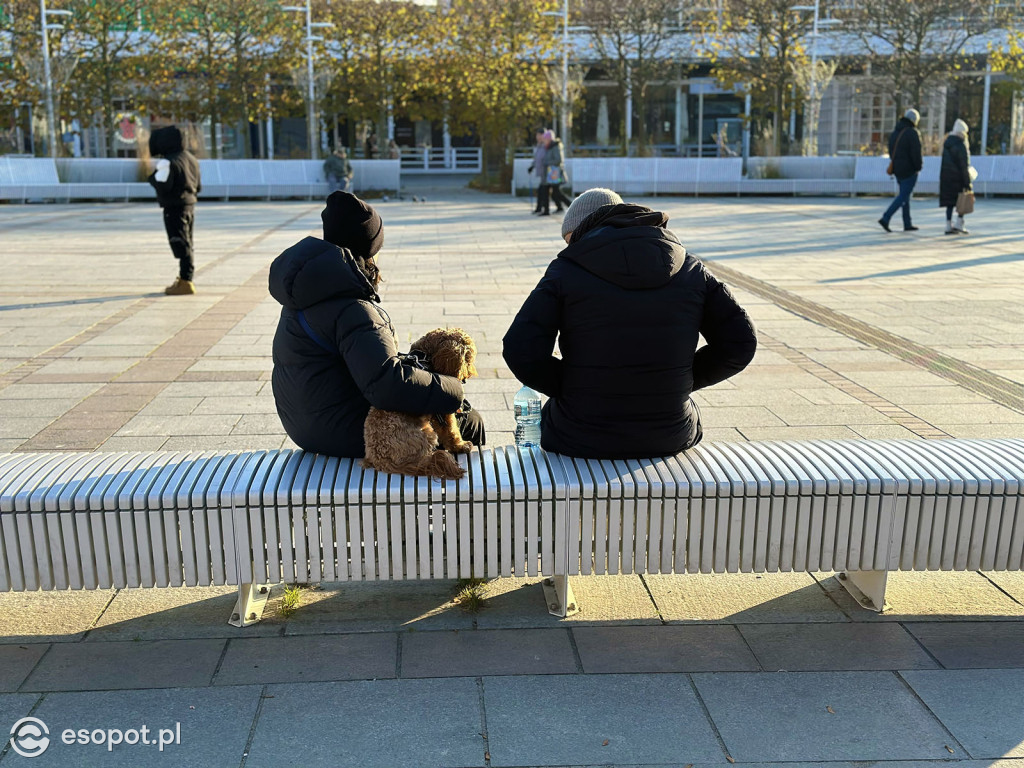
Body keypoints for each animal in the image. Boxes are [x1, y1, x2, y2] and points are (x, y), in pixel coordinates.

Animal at [362, 329, 477, 481]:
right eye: (467, 358)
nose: (468, 375)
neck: (424, 357)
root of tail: (382, 461)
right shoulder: (443, 411)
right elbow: (452, 432)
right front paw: (461, 445)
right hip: (428, 433)